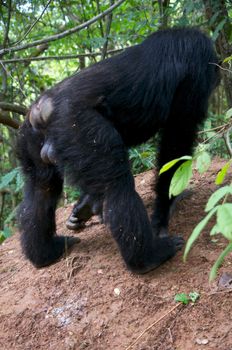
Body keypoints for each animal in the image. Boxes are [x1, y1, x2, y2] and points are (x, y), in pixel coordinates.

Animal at [17, 27, 220, 274]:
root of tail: (42, 109)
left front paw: (86, 206)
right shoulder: (196, 71)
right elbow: (176, 140)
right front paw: (164, 211)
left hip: (30, 139)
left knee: (40, 190)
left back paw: (46, 252)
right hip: (79, 128)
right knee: (117, 186)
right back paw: (150, 256)